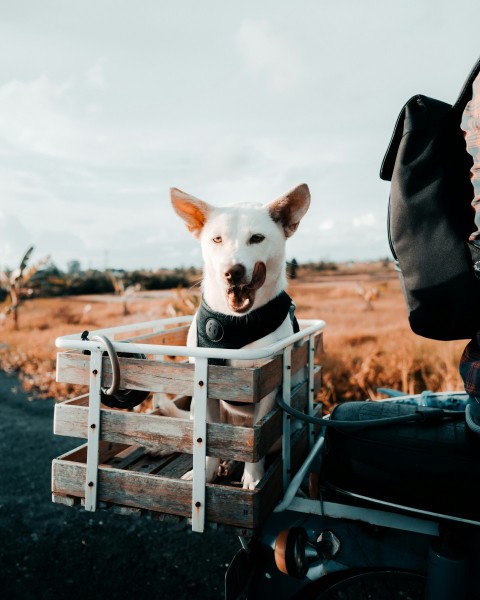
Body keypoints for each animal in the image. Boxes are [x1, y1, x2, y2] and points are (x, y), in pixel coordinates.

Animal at [171, 183, 310, 488]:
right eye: (217, 239)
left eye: (257, 238)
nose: (232, 272)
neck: (233, 323)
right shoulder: (206, 390)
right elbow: (208, 442)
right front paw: (205, 473)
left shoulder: (266, 389)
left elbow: (256, 443)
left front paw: (253, 478)